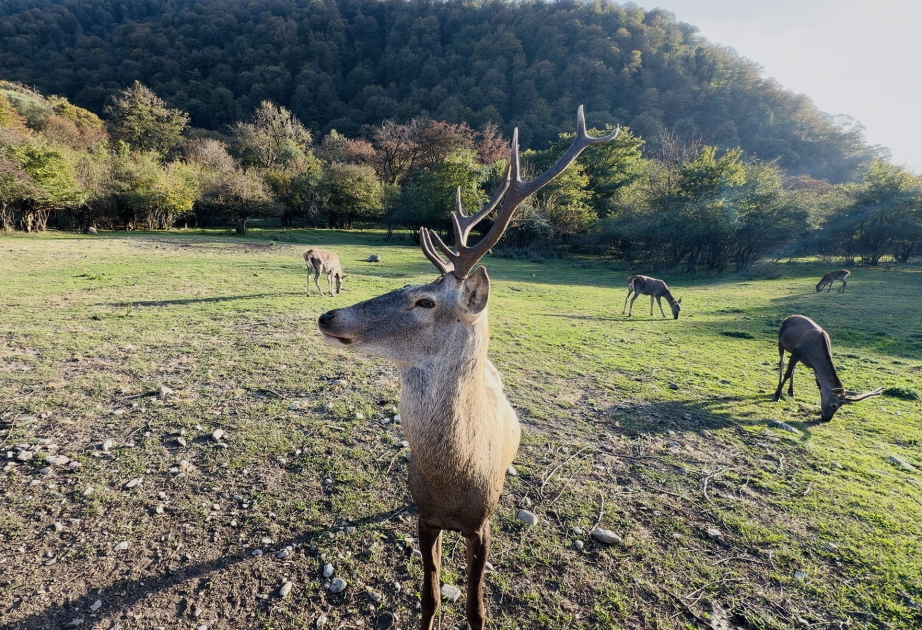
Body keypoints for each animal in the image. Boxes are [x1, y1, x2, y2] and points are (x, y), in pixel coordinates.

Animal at [318, 107, 619, 630]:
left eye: (425, 300)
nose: (328, 316)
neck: (453, 482)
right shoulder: (425, 517)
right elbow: (430, 594)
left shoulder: (482, 525)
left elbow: (477, 608)